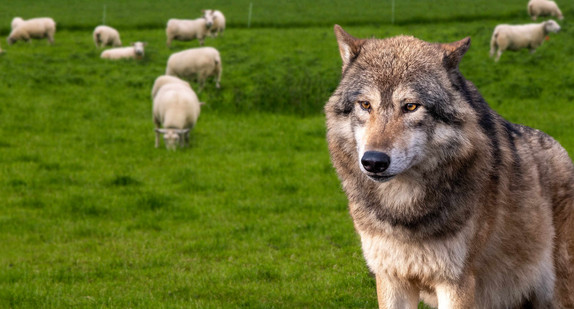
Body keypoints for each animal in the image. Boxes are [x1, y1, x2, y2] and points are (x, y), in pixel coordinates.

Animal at [326, 25, 572, 306]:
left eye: (411, 106)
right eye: (365, 104)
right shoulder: (391, 278)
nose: (374, 162)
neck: (403, 211)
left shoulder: (456, 283)